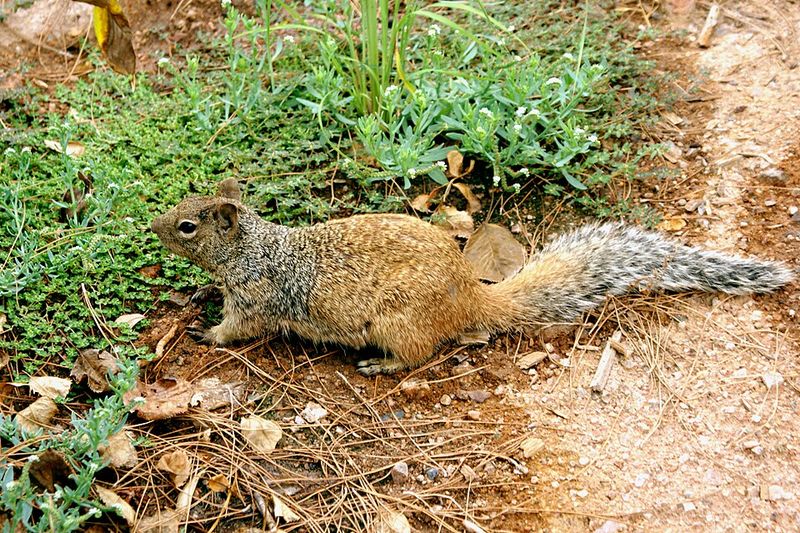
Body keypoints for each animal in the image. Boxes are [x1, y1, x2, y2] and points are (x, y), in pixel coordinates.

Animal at [151, 179, 794, 375]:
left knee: (420, 353)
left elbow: (239, 327)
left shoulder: (257, 298)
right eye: (184, 206)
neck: (253, 249)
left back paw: (382, 365)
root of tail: (471, 301)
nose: (151, 224)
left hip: (399, 320)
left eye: (186, 225)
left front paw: (206, 334)